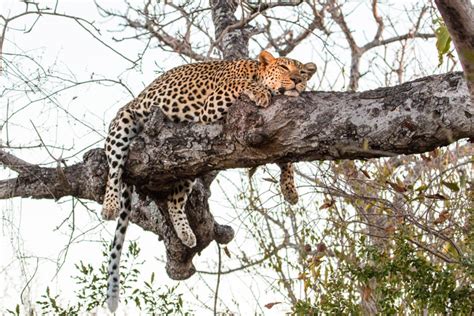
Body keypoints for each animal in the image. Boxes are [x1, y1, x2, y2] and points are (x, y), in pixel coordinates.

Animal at [105, 50, 316, 312]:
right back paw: (109, 205)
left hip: (186, 162)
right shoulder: (213, 104)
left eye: (302, 72)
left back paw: (186, 234)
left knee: (175, 201)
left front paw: (289, 189)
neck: (255, 70)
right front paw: (260, 92)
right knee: (113, 168)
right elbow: (242, 84)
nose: (297, 80)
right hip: (123, 123)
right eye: (284, 67)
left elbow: (286, 159)